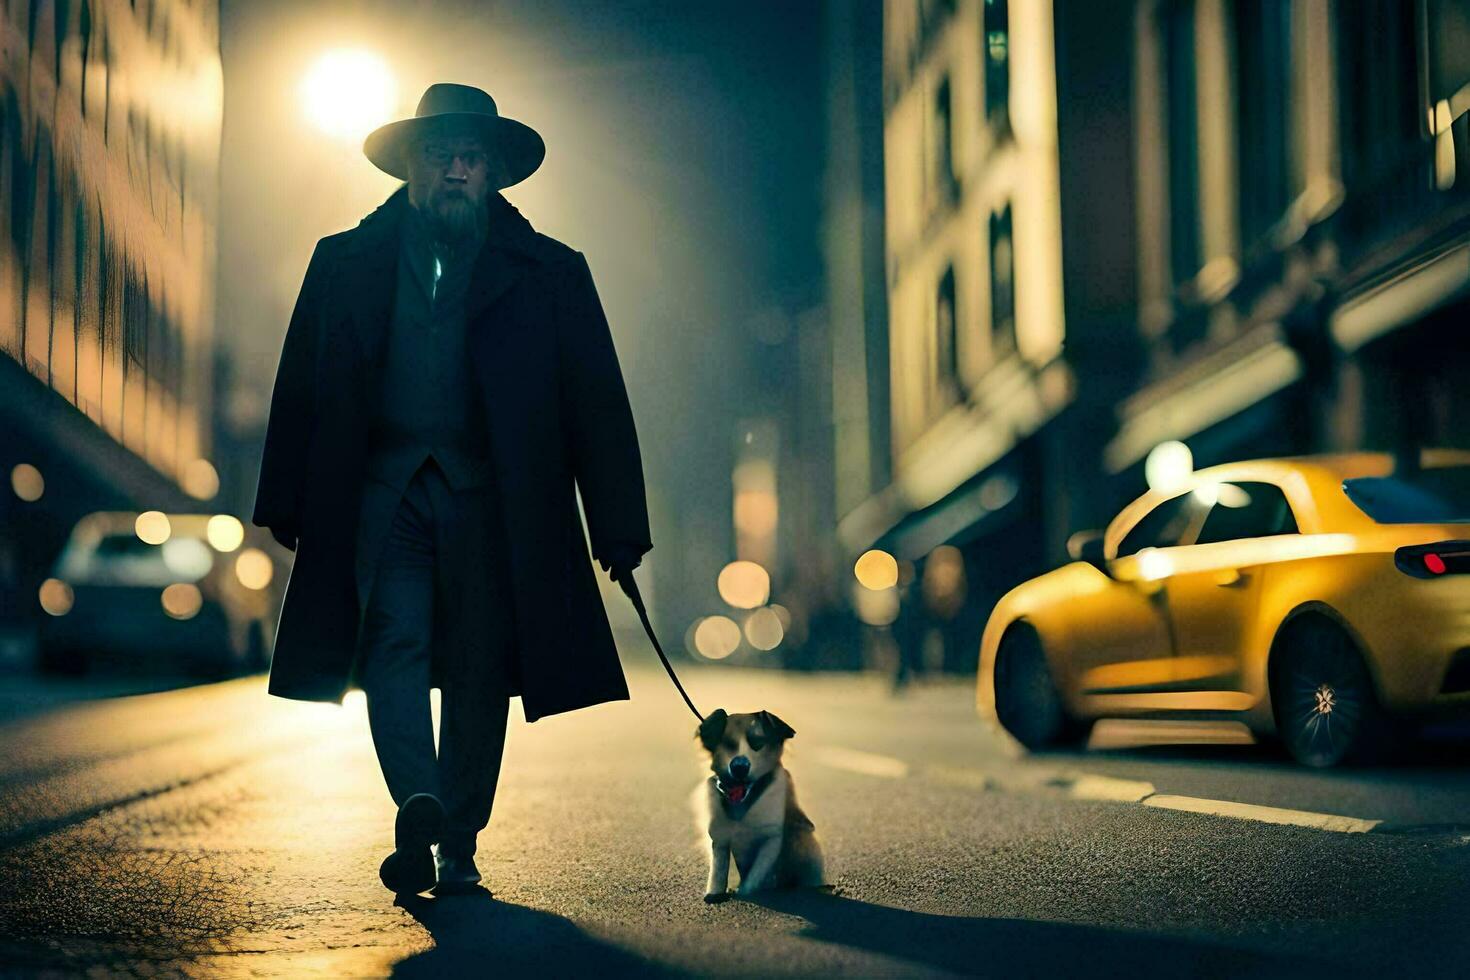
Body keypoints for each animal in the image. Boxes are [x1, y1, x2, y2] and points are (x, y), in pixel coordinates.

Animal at [690, 705, 823, 905]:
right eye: (727, 744)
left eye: (758, 742)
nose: (739, 766)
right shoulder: (720, 838)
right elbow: (719, 869)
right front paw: (715, 894)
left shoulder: (771, 839)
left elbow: (757, 873)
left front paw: (746, 891)